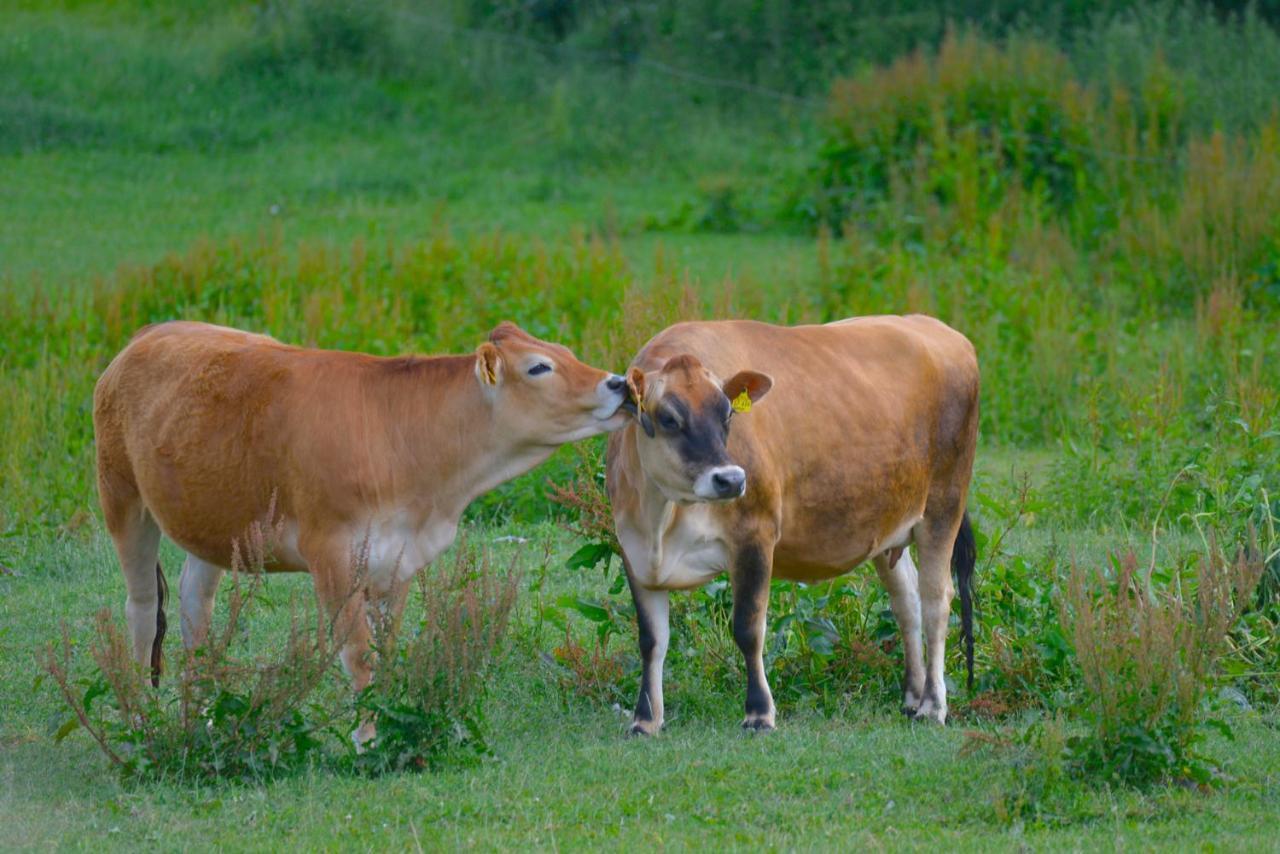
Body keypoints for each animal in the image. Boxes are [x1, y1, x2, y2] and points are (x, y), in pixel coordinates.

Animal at [93, 320, 624, 742]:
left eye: (566, 352)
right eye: (539, 368)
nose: (618, 383)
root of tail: (150, 333)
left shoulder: (400, 558)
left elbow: (386, 651)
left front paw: (386, 721)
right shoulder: (331, 554)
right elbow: (359, 653)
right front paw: (366, 738)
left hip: (215, 526)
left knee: (193, 609)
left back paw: (199, 713)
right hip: (121, 497)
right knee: (143, 608)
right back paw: (141, 720)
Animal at [604, 317, 972, 732]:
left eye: (728, 415)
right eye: (669, 418)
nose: (731, 479)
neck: (661, 521)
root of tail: (936, 327)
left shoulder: (755, 535)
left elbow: (748, 628)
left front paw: (759, 712)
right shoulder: (633, 551)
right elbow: (652, 640)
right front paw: (645, 719)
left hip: (943, 505)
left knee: (936, 600)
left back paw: (933, 705)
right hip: (888, 523)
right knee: (906, 600)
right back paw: (912, 697)